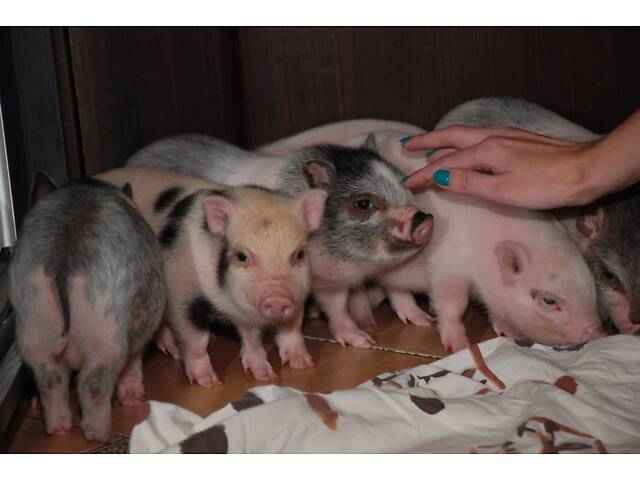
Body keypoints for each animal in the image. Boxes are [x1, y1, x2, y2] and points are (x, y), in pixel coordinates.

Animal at [8, 175, 166, 442]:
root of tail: (62, 260)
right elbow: (135, 358)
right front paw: (133, 398)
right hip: (106, 322)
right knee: (94, 381)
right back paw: (99, 435)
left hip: (32, 315)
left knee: (49, 376)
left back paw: (58, 429)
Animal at [96, 167, 327, 384]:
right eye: (242, 256)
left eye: (299, 254)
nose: (278, 298)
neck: (226, 303)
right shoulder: (181, 294)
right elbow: (196, 340)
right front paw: (209, 382)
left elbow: (255, 336)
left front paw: (275, 373)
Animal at [127, 135, 433, 347]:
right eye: (364, 203)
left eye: (406, 188)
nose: (424, 218)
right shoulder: (323, 279)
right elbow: (337, 307)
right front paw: (364, 342)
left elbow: (390, 291)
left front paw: (422, 322)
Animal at [258, 118, 603, 351]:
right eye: (548, 300)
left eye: (591, 283)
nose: (594, 333)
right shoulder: (448, 270)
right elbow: (451, 304)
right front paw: (459, 345)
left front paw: (506, 331)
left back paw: (414, 319)